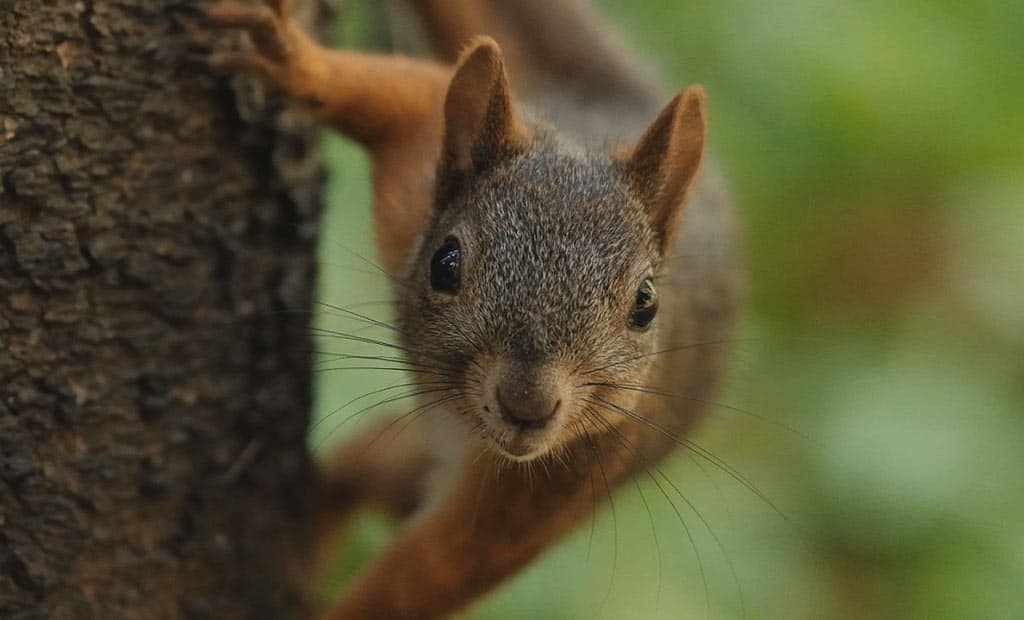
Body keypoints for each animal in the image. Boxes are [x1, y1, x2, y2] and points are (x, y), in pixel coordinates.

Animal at [211, 0, 741, 614]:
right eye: (445, 263)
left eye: (646, 304)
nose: (528, 406)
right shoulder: (415, 169)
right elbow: (401, 91)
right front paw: (293, 59)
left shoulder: (568, 474)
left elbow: (429, 574)